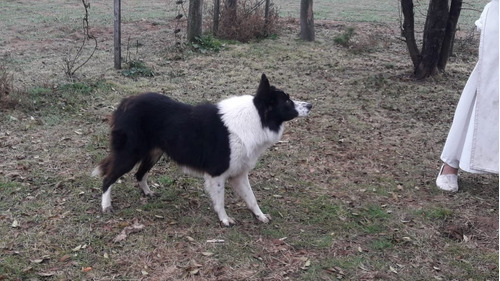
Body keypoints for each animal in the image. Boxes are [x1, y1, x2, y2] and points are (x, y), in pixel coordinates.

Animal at [92, 72, 310, 225]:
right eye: (287, 101)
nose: (310, 105)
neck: (256, 118)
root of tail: (125, 102)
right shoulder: (217, 173)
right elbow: (220, 200)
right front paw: (224, 220)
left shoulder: (239, 174)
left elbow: (252, 198)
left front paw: (260, 216)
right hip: (129, 154)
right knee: (108, 178)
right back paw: (106, 206)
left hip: (154, 153)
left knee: (139, 174)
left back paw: (147, 193)